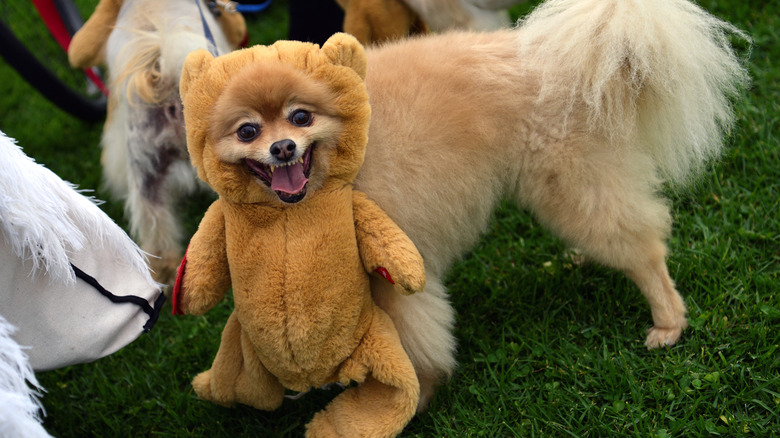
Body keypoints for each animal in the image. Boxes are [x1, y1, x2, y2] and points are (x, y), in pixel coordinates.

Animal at [192, 0, 748, 408]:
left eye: (301, 117)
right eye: (247, 131)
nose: (282, 148)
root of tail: (571, 54)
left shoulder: (391, 274)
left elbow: (412, 341)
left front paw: (406, 400)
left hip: (570, 184)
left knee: (644, 249)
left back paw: (667, 321)